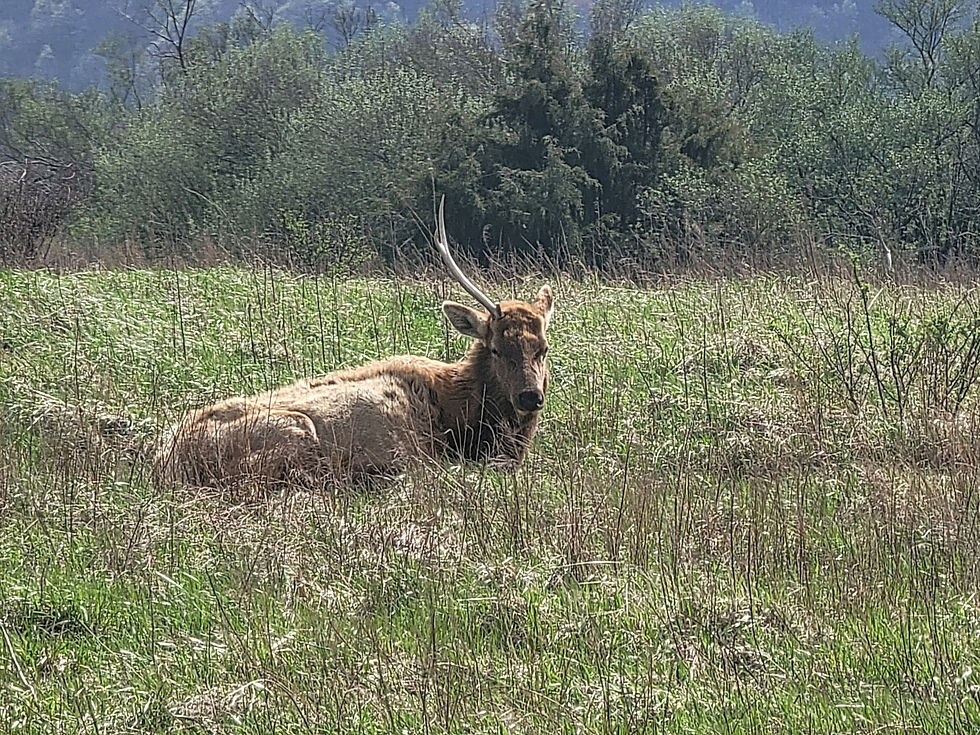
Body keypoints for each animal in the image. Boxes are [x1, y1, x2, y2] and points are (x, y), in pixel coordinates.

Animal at [154, 199, 555, 486]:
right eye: (496, 349)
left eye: (543, 348)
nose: (530, 397)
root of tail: (164, 460)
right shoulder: (418, 450)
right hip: (293, 432)